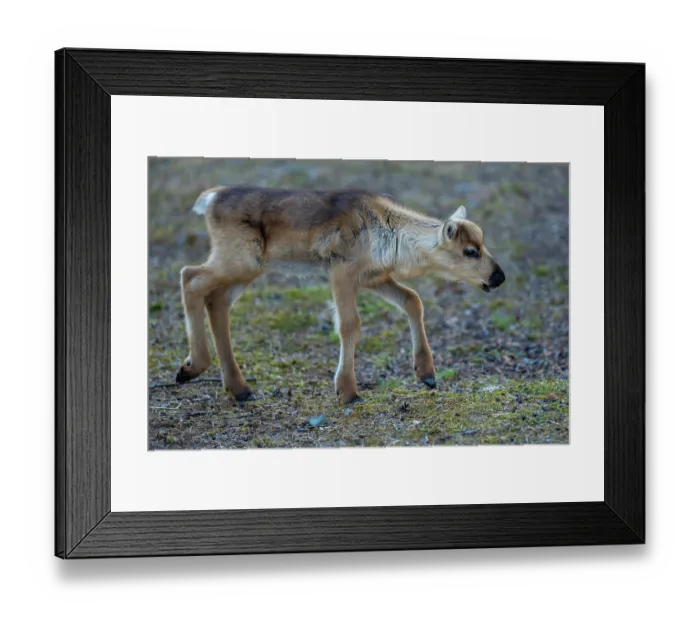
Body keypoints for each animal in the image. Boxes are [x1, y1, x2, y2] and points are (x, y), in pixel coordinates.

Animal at [175, 187, 505, 404]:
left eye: (483, 243)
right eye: (470, 251)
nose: (498, 277)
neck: (390, 235)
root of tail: (209, 199)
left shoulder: (374, 277)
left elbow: (413, 300)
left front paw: (426, 374)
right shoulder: (341, 271)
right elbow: (349, 323)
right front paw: (347, 390)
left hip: (247, 270)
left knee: (216, 301)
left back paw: (238, 388)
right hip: (239, 260)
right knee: (190, 277)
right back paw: (191, 368)